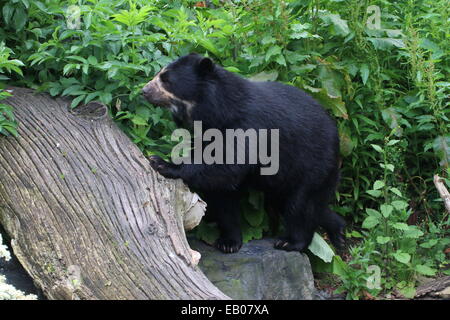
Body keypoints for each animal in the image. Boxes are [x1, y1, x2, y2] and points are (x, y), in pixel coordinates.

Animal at [142, 54, 346, 255]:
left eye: (167, 79)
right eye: (160, 74)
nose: (144, 90)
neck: (215, 112)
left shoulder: (248, 128)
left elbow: (225, 167)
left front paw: (161, 162)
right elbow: (223, 194)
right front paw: (228, 242)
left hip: (313, 163)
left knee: (301, 204)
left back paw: (291, 242)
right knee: (306, 205)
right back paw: (339, 232)